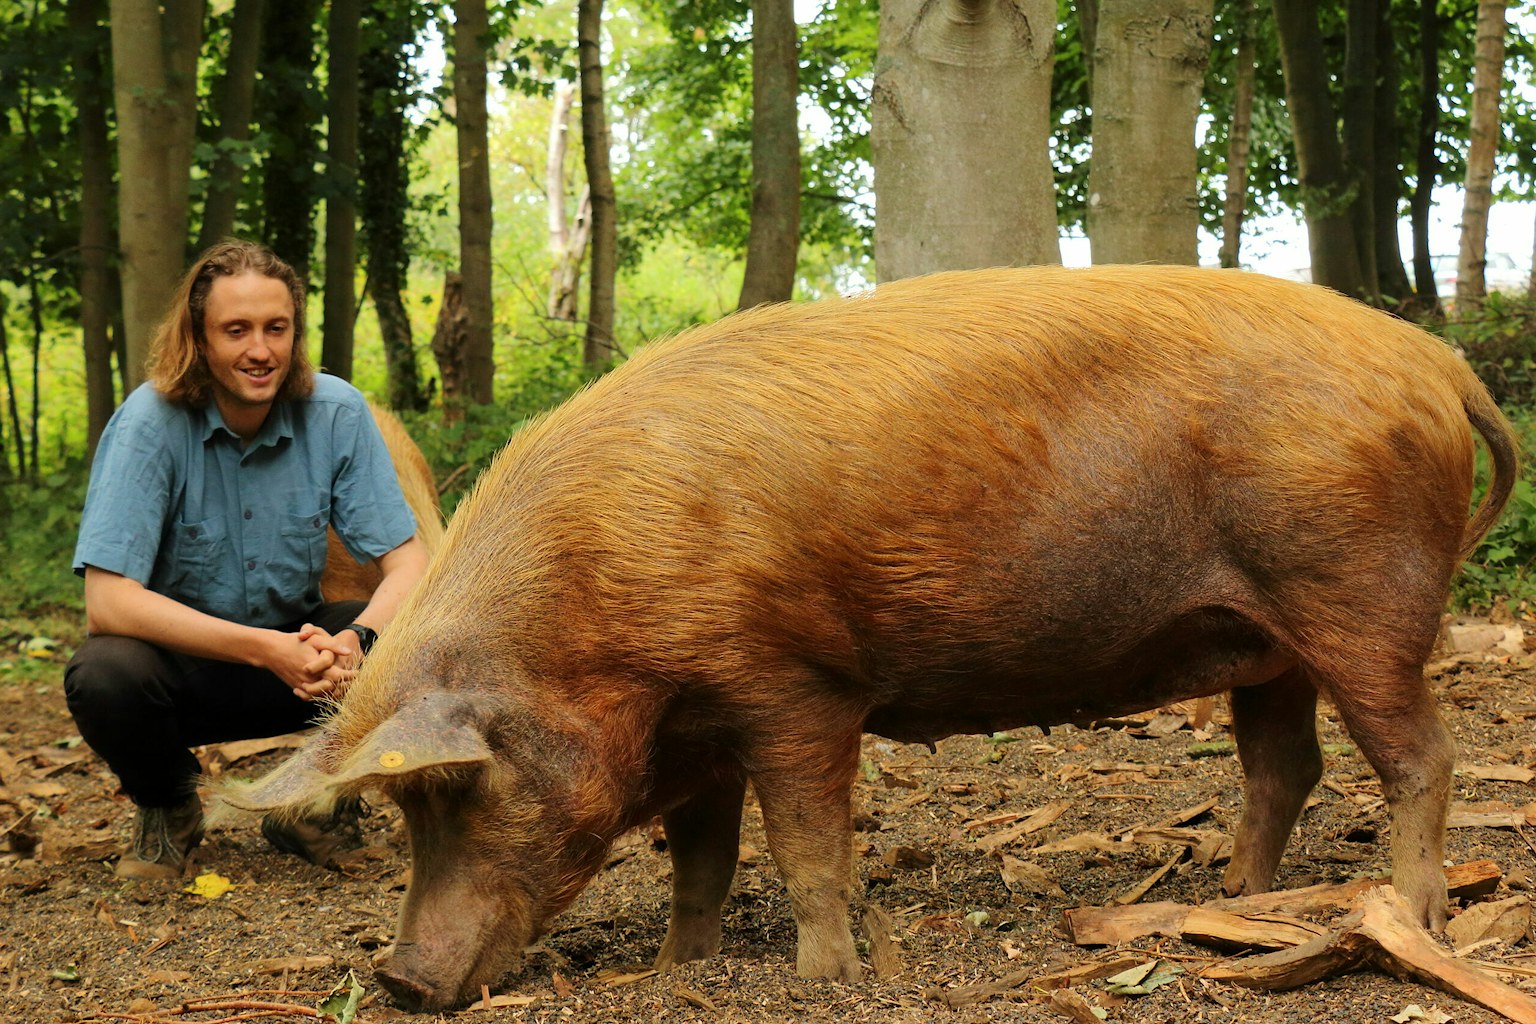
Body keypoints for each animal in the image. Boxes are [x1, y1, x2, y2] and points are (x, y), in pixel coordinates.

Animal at [223, 265, 1517, 1011]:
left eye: (461, 790)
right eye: (407, 806)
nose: (397, 977)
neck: (600, 621)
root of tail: (1437, 359)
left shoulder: (794, 684)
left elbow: (805, 840)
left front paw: (827, 977)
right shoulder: (697, 726)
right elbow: (700, 855)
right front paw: (679, 970)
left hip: (1356, 591)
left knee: (1421, 755)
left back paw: (1412, 918)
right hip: (1265, 636)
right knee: (1285, 763)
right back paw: (1232, 898)